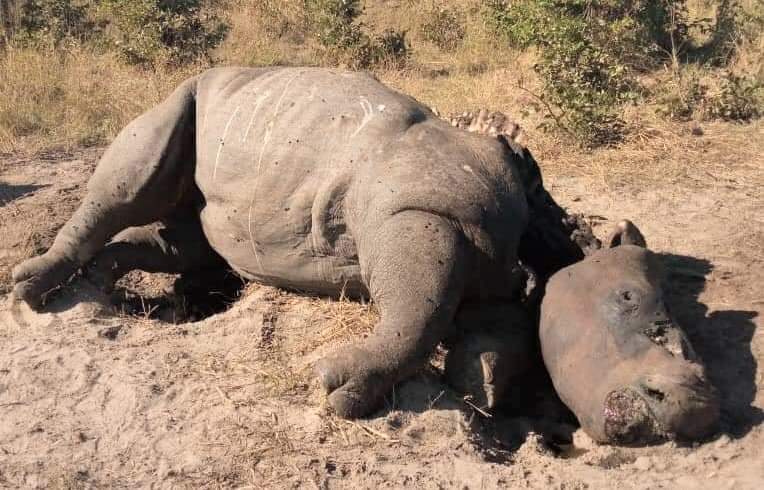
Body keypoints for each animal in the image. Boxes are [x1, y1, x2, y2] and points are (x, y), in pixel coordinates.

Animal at [11, 67, 718, 444]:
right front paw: (343, 387)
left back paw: (103, 289)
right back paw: (33, 289)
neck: (544, 235)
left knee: (186, 240)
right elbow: (417, 308)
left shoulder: (491, 268)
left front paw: (482, 385)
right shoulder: (415, 214)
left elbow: (495, 332)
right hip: (189, 92)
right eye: (628, 302)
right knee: (133, 176)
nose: (693, 409)